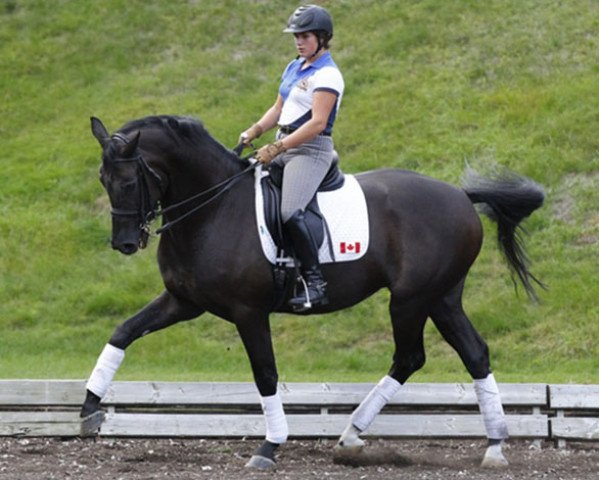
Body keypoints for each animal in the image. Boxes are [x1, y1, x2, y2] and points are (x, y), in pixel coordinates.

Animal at [85, 115, 548, 468]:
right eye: (103, 179)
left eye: (129, 181)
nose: (124, 243)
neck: (214, 207)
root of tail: (460, 195)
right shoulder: (184, 302)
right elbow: (123, 332)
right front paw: (89, 408)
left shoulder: (248, 311)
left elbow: (265, 374)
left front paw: (269, 446)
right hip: (442, 298)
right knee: (474, 353)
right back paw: (490, 446)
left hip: (411, 299)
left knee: (411, 356)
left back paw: (358, 433)